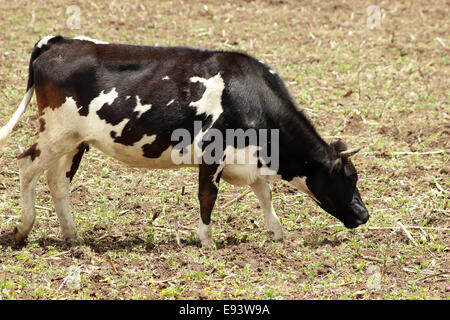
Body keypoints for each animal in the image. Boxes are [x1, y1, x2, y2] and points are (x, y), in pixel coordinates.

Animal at [0, 36, 368, 249]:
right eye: (350, 178)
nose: (364, 215)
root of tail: (59, 42)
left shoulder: (246, 159)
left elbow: (265, 194)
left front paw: (276, 232)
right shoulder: (213, 153)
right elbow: (208, 197)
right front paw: (206, 241)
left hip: (74, 142)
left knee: (56, 180)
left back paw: (72, 235)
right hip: (55, 133)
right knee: (26, 165)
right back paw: (22, 230)